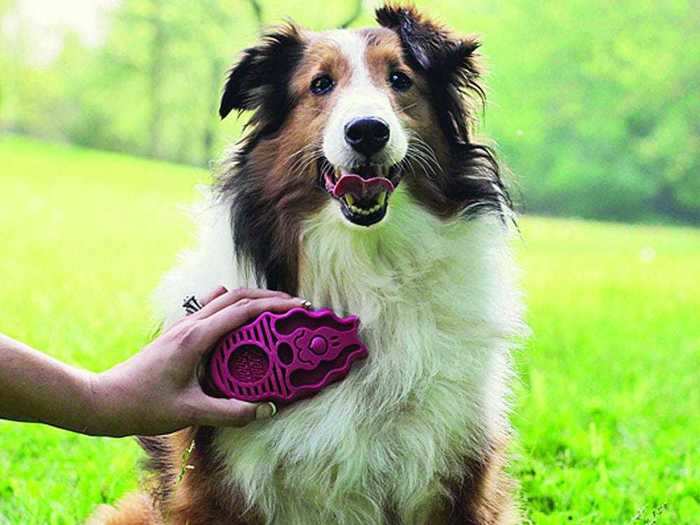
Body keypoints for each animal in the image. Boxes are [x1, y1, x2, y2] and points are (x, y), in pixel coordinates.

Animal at [87, 4, 524, 524]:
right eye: (320, 85)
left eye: (400, 79)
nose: (367, 131)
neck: (365, 267)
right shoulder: (216, 484)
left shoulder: (458, 473)